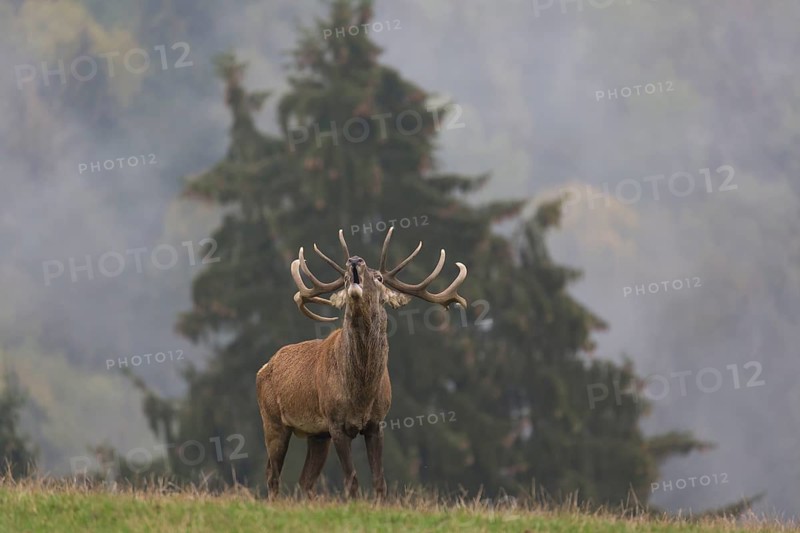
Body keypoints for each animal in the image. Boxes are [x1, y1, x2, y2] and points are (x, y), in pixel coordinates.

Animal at [256, 227, 467, 499]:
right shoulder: (336, 423)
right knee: (272, 475)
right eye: (345, 278)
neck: (361, 395)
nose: (354, 260)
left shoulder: (376, 423)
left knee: (305, 480)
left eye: (379, 278)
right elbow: (352, 479)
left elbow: (380, 480)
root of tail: (264, 368)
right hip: (272, 420)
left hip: (316, 434)